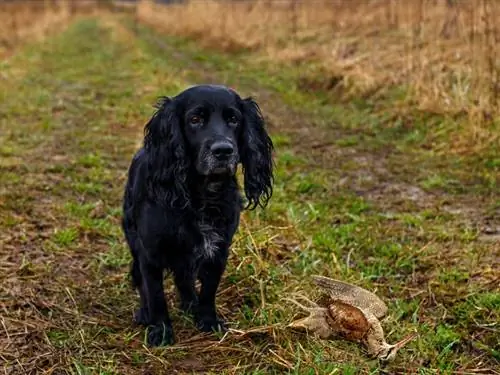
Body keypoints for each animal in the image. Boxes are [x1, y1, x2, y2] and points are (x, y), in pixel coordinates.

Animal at [123, 84, 276, 346]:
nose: (223, 150)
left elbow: (208, 290)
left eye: (233, 119)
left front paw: (207, 320)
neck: (202, 195)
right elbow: (155, 294)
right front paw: (160, 330)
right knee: (140, 279)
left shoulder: (218, 249)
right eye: (195, 120)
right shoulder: (151, 252)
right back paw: (144, 313)